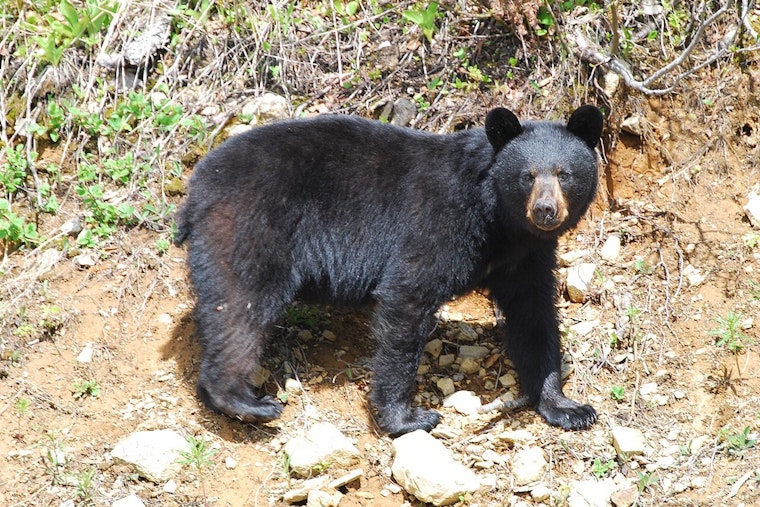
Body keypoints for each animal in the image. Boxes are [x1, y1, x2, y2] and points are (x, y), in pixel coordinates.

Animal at [174, 104, 604, 437]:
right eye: (526, 175)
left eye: (564, 173)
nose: (545, 210)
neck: (500, 223)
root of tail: (196, 188)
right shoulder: (439, 224)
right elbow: (407, 297)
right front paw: (407, 418)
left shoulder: (526, 257)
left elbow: (533, 316)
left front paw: (567, 406)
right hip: (251, 225)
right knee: (241, 306)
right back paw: (245, 401)